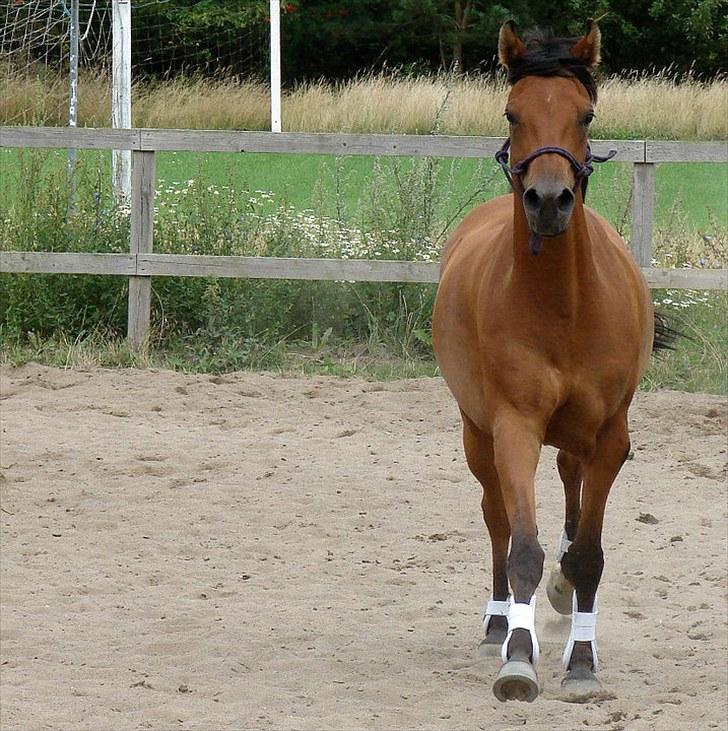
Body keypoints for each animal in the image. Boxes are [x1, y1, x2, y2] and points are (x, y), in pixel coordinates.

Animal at [432, 20, 673, 702]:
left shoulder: (612, 434)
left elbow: (586, 553)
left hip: (577, 434)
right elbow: (522, 548)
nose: (547, 200)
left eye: (584, 114)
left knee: (570, 481)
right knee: (496, 518)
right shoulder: (513, 426)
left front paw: (583, 662)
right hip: (477, 432)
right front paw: (518, 658)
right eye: (512, 113)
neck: (563, 306)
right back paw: (498, 625)